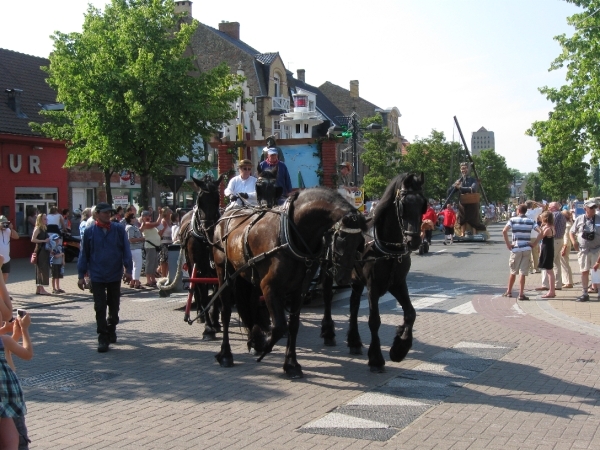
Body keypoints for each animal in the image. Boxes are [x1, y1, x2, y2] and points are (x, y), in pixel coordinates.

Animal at [158, 174, 224, 340]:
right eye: (199, 200)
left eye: (217, 199)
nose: (209, 229)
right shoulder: (198, 267)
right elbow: (203, 293)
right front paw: (208, 328)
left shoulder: (216, 268)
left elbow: (216, 293)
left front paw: (215, 322)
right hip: (190, 263)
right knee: (197, 291)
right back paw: (201, 315)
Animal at [211, 188, 370, 378]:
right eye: (340, 238)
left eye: (360, 242)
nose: (345, 278)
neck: (291, 233)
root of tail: (226, 215)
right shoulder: (269, 287)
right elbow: (280, 326)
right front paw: (267, 346)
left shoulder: (299, 290)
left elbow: (293, 325)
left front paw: (291, 364)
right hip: (224, 272)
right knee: (226, 312)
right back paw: (226, 354)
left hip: (248, 276)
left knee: (250, 306)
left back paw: (255, 340)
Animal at [318, 172, 426, 372]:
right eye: (403, 204)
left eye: (423, 204)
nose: (414, 241)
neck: (387, 248)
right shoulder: (373, 286)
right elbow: (374, 320)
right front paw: (376, 358)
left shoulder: (398, 283)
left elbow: (410, 313)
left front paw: (400, 347)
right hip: (329, 270)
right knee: (328, 297)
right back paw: (328, 333)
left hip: (355, 280)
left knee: (353, 305)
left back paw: (354, 342)